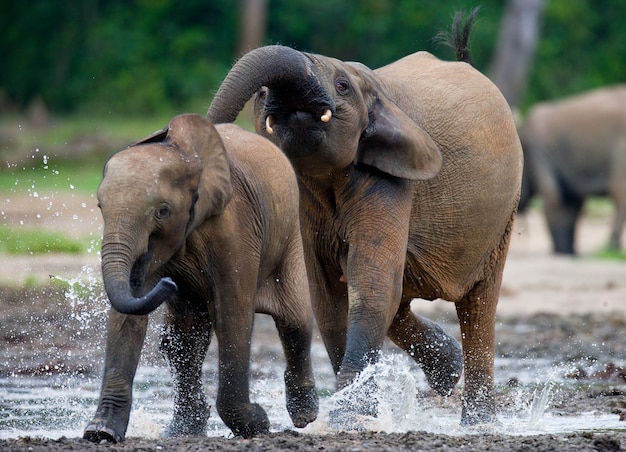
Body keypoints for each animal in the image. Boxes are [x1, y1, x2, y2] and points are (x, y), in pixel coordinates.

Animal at [83, 113, 316, 442]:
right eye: (101, 207)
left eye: (162, 211)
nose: (168, 283)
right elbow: (128, 318)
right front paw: (100, 433)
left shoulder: (236, 228)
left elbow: (232, 314)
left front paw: (259, 424)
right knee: (182, 338)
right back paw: (183, 430)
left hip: (290, 235)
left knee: (295, 320)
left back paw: (304, 416)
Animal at [205, 15, 520, 424]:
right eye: (261, 94)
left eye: (341, 86)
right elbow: (328, 298)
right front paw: (351, 409)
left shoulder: (390, 180)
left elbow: (370, 288)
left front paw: (350, 414)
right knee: (400, 297)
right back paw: (447, 370)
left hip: (503, 217)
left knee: (478, 304)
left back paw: (477, 420)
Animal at [516, 84, 624, 254]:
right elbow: (572, 202)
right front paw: (570, 252)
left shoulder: (540, 152)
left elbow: (554, 198)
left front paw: (562, 252)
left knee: (619, 195)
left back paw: (611, 247)